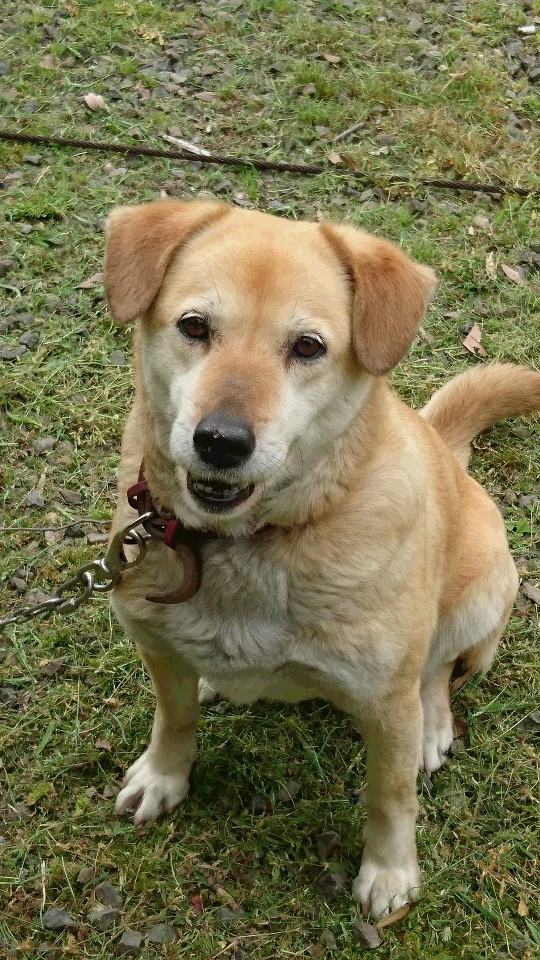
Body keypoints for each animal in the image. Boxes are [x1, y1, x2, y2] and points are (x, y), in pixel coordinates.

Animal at [104, 199, 540, 917]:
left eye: (308, 346)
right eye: (194, 326)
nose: (221, 441)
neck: (254, 539)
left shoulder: (385, 704)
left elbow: (391, 796)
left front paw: (389, 872)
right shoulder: (156, 645)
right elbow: (175, 718)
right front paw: (166, 775)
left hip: (480, 599)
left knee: (439, 668)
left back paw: (433, 723)